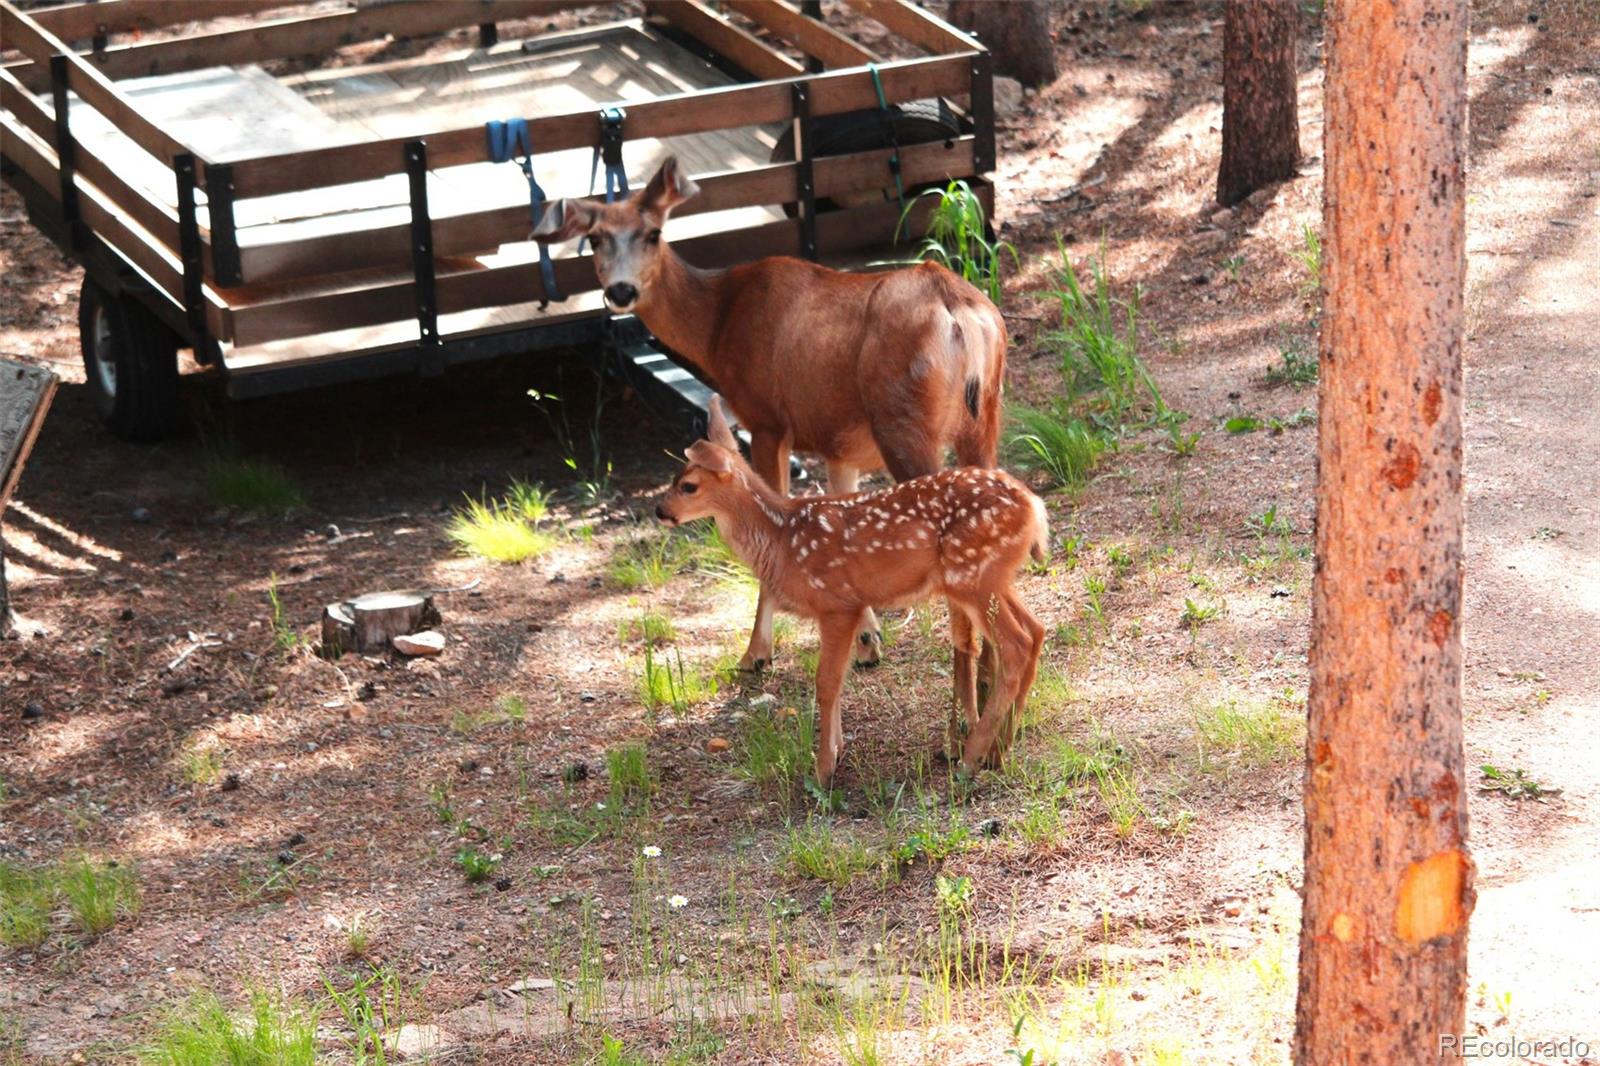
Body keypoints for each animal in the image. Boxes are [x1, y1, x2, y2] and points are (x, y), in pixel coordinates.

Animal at [537, 156, 1011, 672]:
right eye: (596, 238)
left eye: (652, 233)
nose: (621, 291)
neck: (717, 323)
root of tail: (958, 308)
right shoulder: (839, 445)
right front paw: (867, 643)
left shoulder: (766, 420)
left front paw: (756, 653)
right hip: (983, 418)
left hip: (904, 425)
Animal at [659, 396, 1049, 781]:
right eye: (674, 478)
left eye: (688, 485)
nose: (660, 510)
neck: (782, 539)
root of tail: (1034, 506)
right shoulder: (849, 606)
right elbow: (839, 679)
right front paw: (837, 751)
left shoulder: (837, 603)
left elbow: (827, 682)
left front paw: (823, 769)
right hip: (994, 577)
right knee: (1036, 630)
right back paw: (999, 751)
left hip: (971, 576)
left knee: (1016, 644)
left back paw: (971, 758)